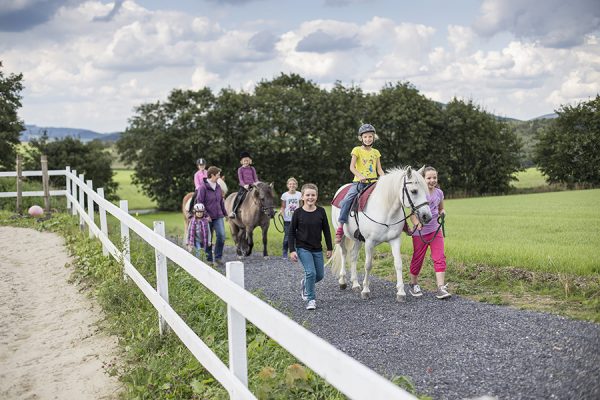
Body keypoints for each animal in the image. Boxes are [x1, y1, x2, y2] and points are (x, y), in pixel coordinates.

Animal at [328, 166, 432, 300]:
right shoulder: (369, 242)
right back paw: (342, 281)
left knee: (353, 256)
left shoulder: (395, 240)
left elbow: (398, 264)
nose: (427, 217)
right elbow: (368, 265)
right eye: (414, 191)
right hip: (342, 237)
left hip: (357, 240)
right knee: (344, 253)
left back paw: (355, 284)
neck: (386, 210)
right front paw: (366, 290)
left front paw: (401, 292)